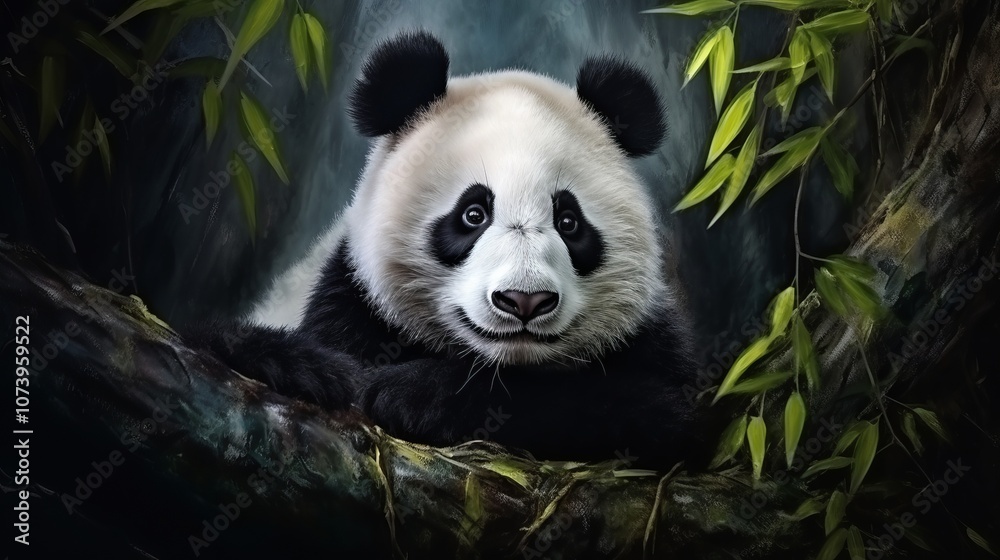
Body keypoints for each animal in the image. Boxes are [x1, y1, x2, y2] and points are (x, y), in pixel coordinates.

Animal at [190, 31, 703, 468]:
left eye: (568, 221)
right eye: (473, 214)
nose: (524, 300)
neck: (502, 363)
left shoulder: (649, 340)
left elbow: (652, 412)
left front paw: (413, 394)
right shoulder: (347, 303)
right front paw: (335, 376)